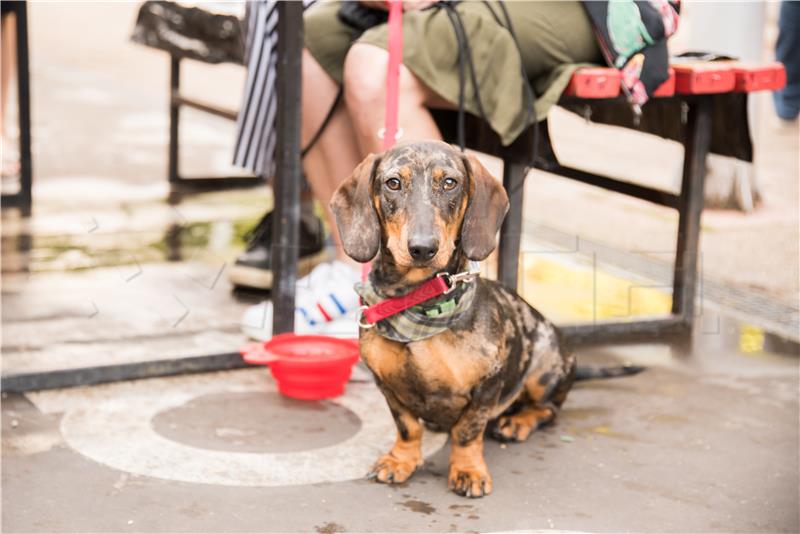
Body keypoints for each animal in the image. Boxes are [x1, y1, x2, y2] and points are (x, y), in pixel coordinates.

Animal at [330, 140, 576, 500]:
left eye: (449, 182)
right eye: (393, 183)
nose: (422, 248)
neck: (420, 301)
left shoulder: (488, 385)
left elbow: (467, 431)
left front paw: (468, 470)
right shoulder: (387, 385)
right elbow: (407, 427)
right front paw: (400, 460)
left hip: (544, 367)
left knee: (549, 408)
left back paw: (517, 422)